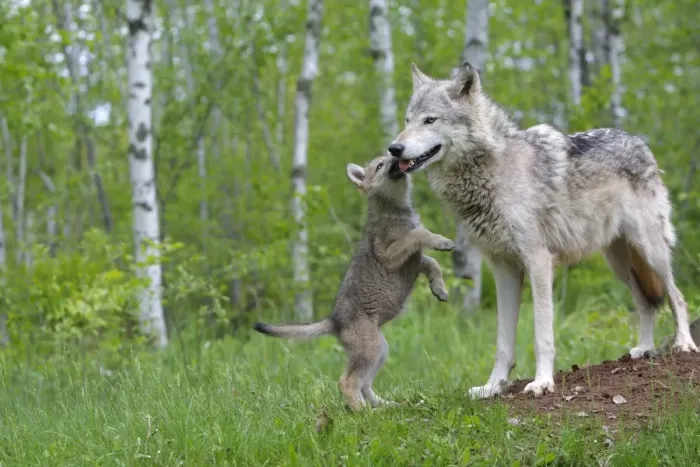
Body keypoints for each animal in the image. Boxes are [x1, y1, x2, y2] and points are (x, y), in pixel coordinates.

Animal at [253, 155, 455, 411]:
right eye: (380, 165)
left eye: (388, 157)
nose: (395, 152)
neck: (395, 211)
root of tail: (334, 320)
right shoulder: (391, 255)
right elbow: (418, 235)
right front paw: (441, 241)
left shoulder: (414, 261)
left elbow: (432, 263)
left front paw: (440, 289)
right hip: (371, 349)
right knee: (346, 382)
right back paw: (364, 412)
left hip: (379, 350)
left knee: (364, 384)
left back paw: (385, 407)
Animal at [386, 61, 699, 399]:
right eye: (407, 120)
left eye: (430, 120)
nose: (394, 148)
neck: (492, 171)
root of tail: (639, 141)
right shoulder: (503, 269)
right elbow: (502, 342)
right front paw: (492, 386)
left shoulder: (538, 261)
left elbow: (541, 332)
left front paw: (542, 382)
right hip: (619, 264)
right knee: (645, 302)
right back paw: (644, 349)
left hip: (650, 251)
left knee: (677, 296)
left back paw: (683, 344)